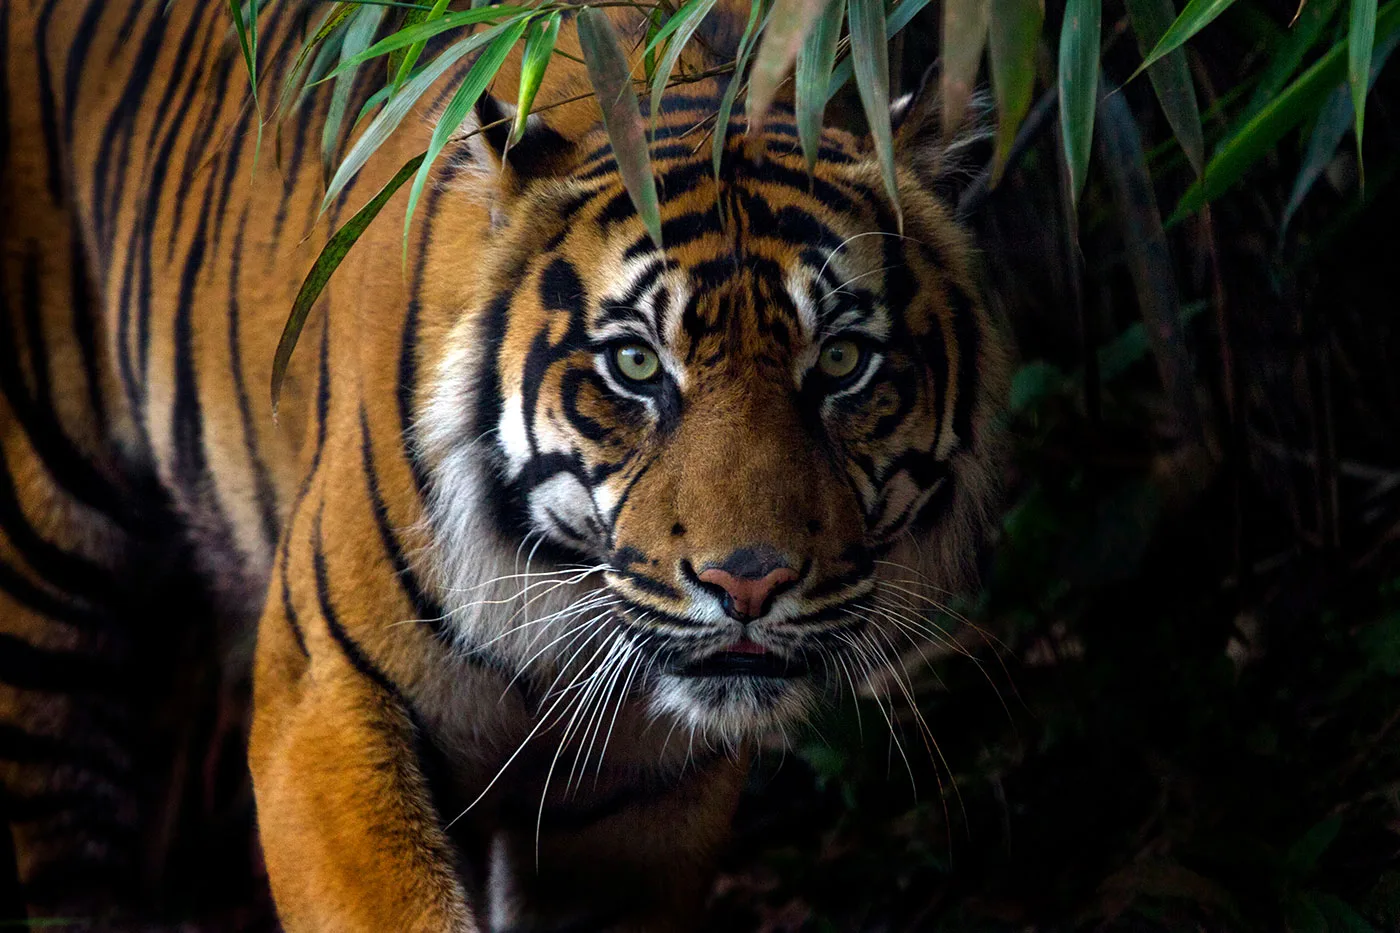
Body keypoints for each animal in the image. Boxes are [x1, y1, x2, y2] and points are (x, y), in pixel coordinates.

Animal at [0, 0, 1010, 928]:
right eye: (635, 364)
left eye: (840, 362)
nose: (749, 583)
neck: (561, 596)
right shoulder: (322, 695)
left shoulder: (640, 797)